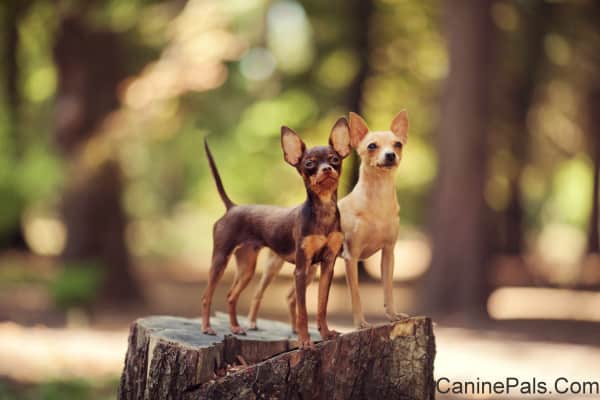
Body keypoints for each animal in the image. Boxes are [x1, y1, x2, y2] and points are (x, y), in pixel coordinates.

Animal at [203, 118, 352, 346]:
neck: (323, 211)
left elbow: (321, 306)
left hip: (247, 267)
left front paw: (326, 334)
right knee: (207, 296)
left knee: (231, 295)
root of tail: (232, 207)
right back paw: (207, 328)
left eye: (334, 159)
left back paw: (236, 327)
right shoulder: (301, 270)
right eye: (309, 164)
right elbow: (302, 311)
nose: (327, 169)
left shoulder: (327, 266)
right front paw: (304, 341)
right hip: (221, 259)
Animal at [246, 111, 410, 330]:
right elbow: (355, 294)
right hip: (275, 266)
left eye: (397, 144)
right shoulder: (351, 258)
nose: (390, 155)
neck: (377, 201)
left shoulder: (388, 253)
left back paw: (294, 328)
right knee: (258, 293)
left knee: (290, 296)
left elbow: (388, 290)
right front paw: (360, 323)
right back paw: (252, 322)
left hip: (310, 268)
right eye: (372, 146)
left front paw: (392, 316)